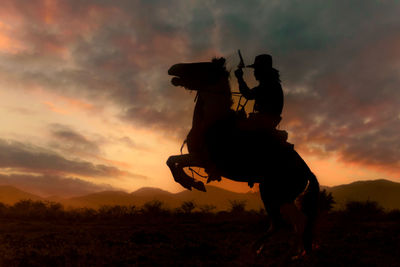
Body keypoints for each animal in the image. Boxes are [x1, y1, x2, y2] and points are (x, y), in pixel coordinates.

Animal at [166, 57, 318, 255]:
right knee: (296, 222)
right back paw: (291, 253)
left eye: (202, 66)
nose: (173, 68)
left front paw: (191, 183)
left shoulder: (202, 159)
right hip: (282, 197)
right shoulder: (198, 158)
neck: (213, 123)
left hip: (273, 194)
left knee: (286, 223)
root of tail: (306, 170)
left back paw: (267, 249)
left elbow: (173, 161)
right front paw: (192, 183)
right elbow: (172, 162)